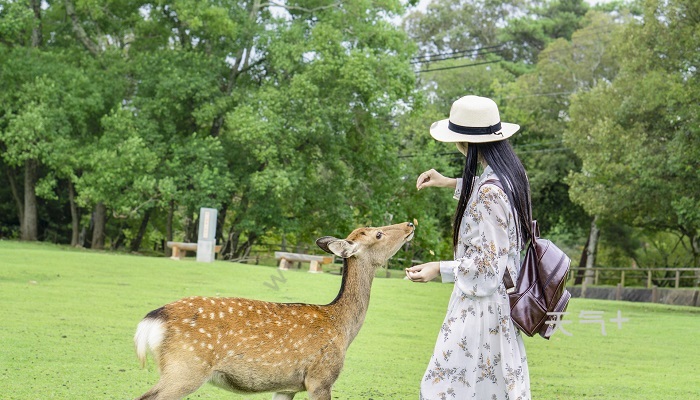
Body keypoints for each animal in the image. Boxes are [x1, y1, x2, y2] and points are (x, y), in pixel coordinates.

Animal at [134, 222, 412, 400]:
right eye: (378, 234)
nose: (410, 224)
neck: (343, 326)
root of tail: (153, 320)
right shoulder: (321, 378)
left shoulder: (286, 386)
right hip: (185, 369)